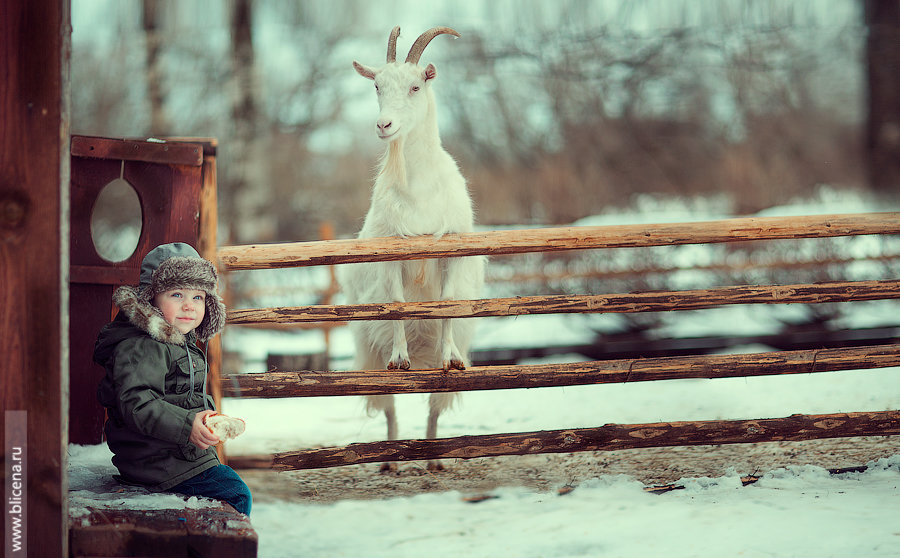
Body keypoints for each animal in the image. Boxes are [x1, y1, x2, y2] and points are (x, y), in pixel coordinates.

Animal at [344, 26, 486, 472]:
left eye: (416, 85)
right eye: (376, 85)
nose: (383, 125)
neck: (420, 189)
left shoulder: (448, 254)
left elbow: (446, 303)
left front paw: (448, 357)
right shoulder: (391, 256)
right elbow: (396, 305)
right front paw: (401, 358)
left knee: (435, 406)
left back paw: (434, 458)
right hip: (367, 351)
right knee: (389, 405)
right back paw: (391, 458)